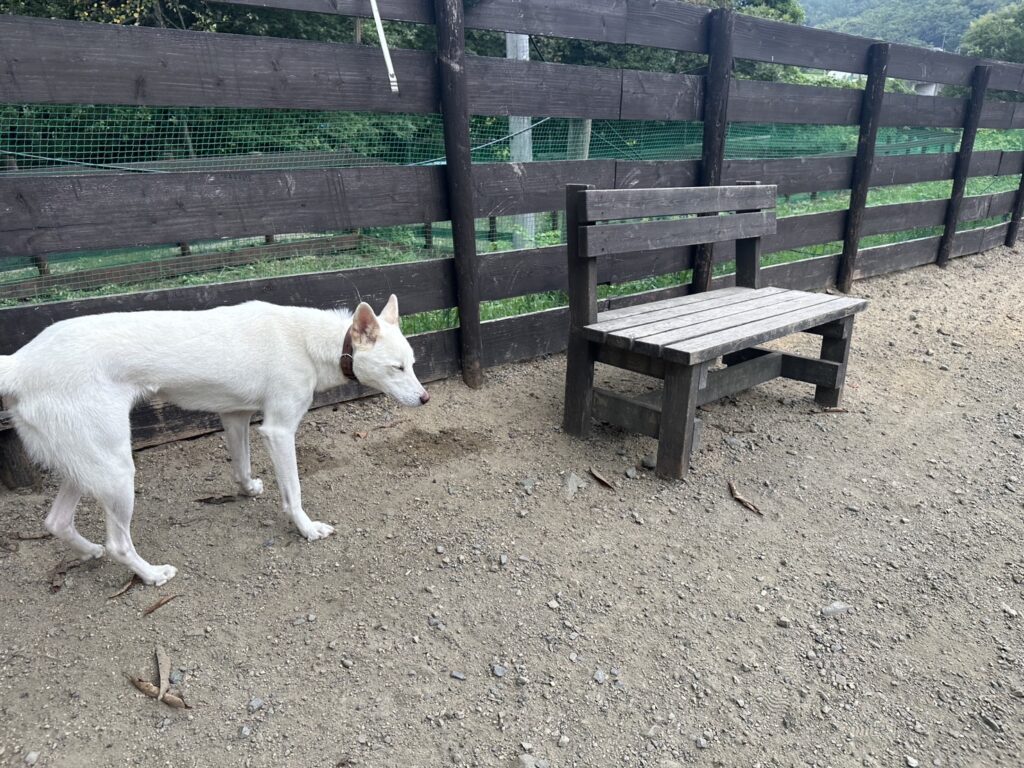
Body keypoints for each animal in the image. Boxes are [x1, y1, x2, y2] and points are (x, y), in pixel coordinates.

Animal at [0, 295, 428, 586]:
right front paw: (307, 529)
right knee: (118, 543)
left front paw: (248, 489)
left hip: (89, 462)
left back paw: (91, 551)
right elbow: (293, 493)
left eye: (412, 365)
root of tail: (19, 362)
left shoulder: (235, 417)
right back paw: (151, 574)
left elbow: (241, 466)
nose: (425, 399)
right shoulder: (279, 430)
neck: (310, 343)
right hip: (116, 470)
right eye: (396, 368)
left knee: (56, 521)